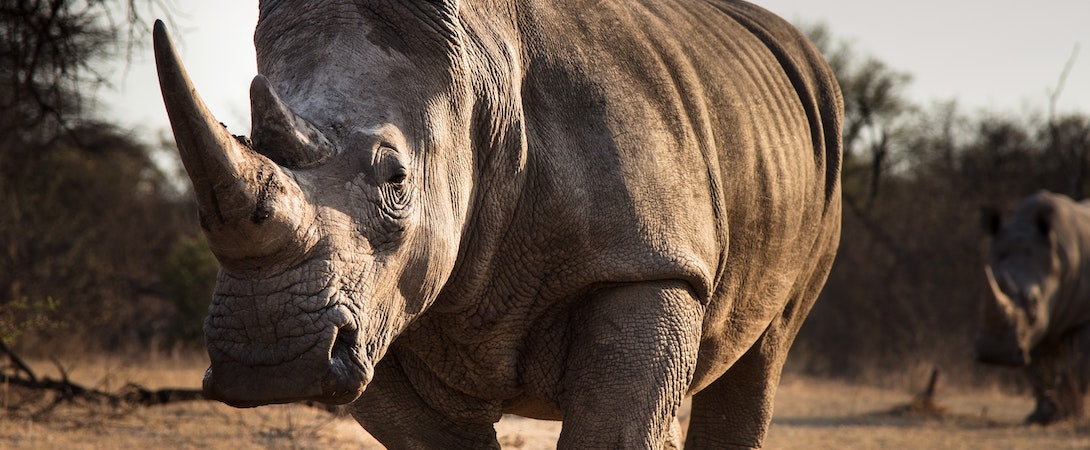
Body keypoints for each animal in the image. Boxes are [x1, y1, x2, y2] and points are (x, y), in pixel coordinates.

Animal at [153, 0, 842, 447]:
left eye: (396, 180)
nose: (268, 356)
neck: (477, 83)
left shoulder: (647, 263)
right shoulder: (375, 314)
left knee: (764, 355)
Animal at [978, 190, 1090, 425]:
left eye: (1034, 300)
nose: (995, 352)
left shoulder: (1083, 316)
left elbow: (1080, 362)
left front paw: (1062, 415)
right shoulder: (1028, 332)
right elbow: (1037, 369)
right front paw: (1041, 415)